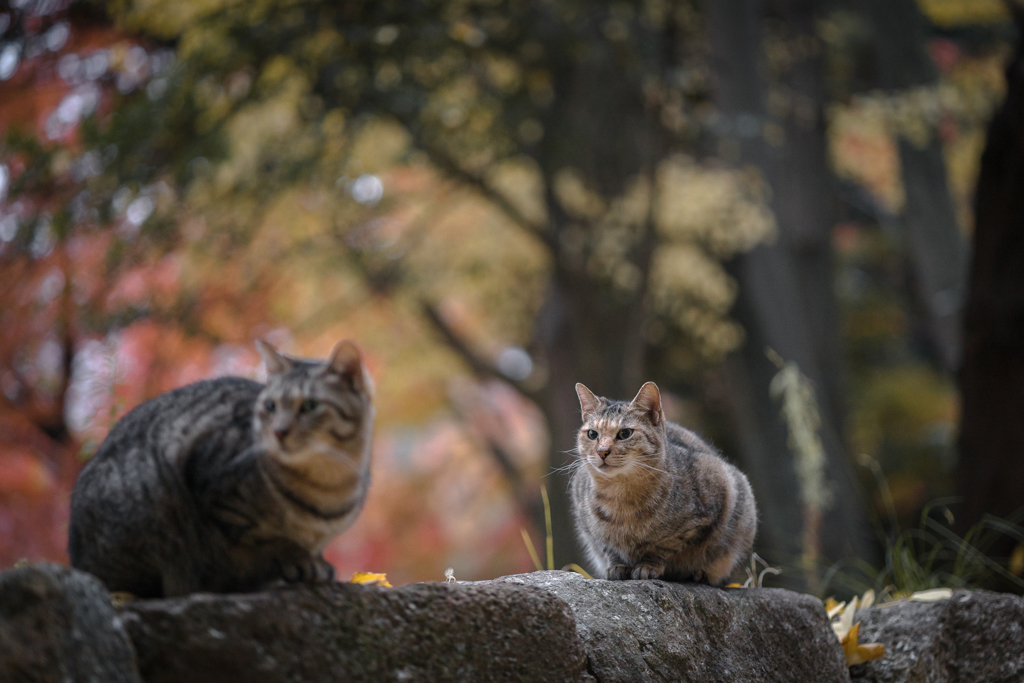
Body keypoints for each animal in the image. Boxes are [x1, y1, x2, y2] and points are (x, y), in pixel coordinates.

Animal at [68, 339, 374, 593]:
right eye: (271, 406)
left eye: (309, 405)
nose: (279, 431)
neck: (328, 482)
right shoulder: (214, 491)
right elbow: (269, 541)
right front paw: (298, 557)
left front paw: (314, 560)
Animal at [573, 382, 757, 585]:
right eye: (592, 434)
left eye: (625, 433)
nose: (602, 451)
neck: (620, 495)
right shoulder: (589, 528)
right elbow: (609, 547)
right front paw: (617, 566)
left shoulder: (705, 510)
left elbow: (665, 546)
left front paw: (648, 566)